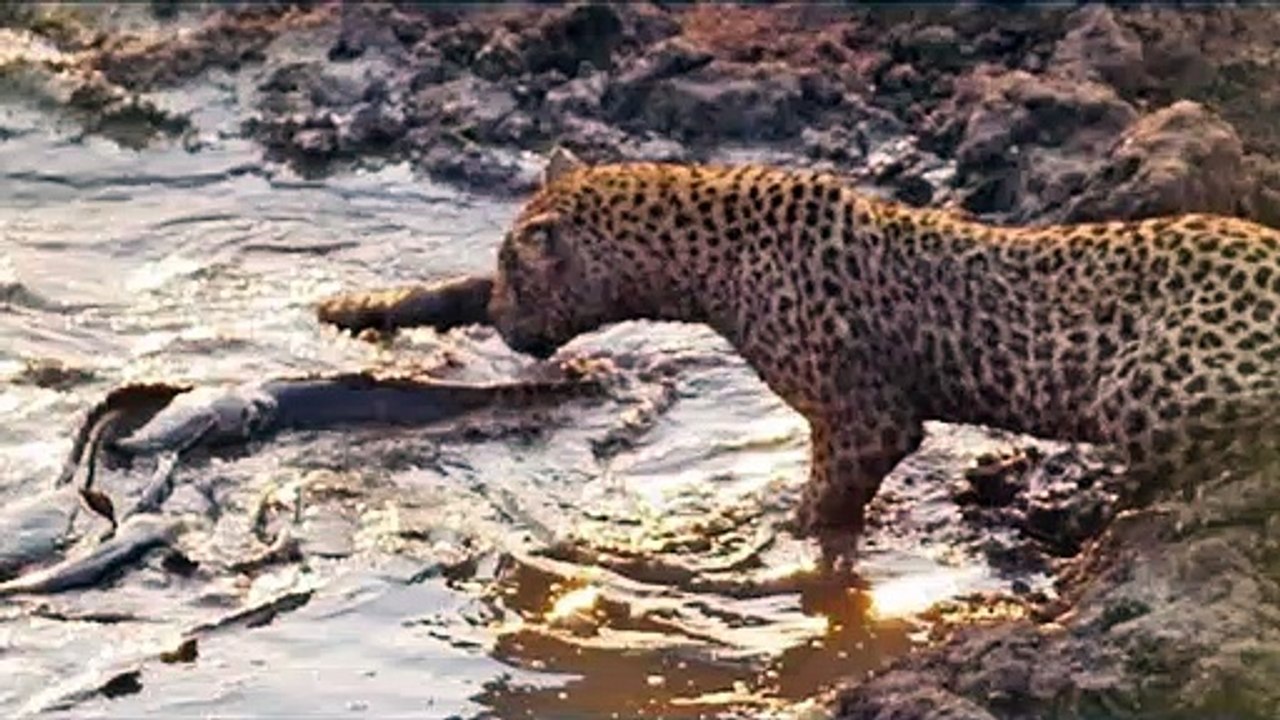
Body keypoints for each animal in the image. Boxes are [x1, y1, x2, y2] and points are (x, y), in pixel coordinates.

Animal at [320, 147, 1280, 561]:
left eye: (518, 271)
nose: (508, 325)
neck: (699, 257)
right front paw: (364, 310)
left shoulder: (866, 420)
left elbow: (819, 508)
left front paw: (780, 552)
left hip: (1143, 384)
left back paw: (1159, 511)